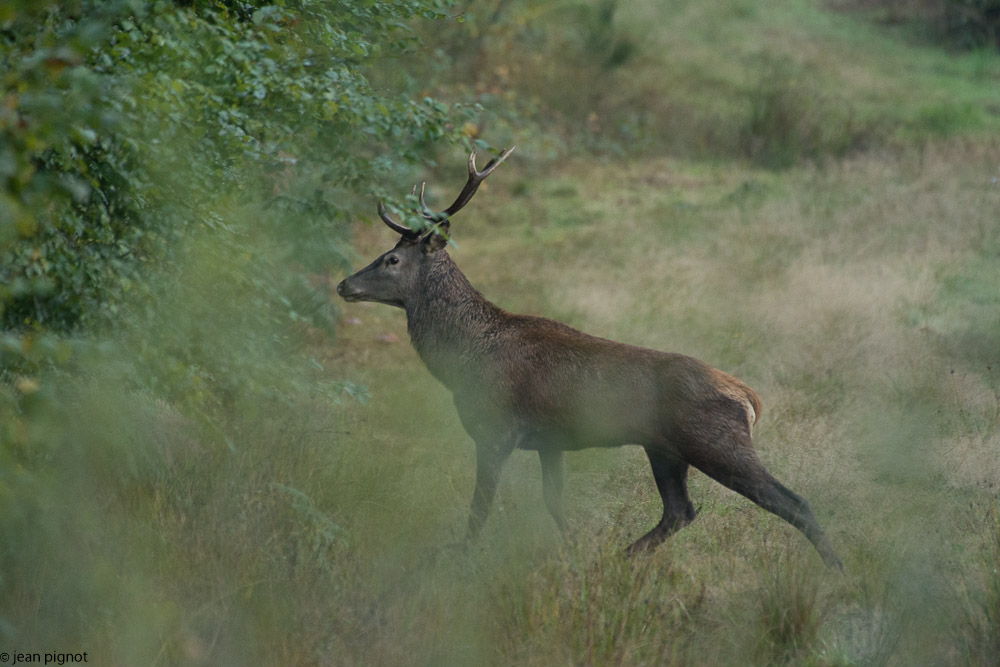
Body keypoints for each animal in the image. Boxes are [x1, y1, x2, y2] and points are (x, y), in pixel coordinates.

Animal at [338, 147, 844, 568]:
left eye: (391, 260)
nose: (344, 284)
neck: (461, 361)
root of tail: (749, 398)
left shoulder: (496, 428)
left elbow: (479, 509)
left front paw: (456, 562)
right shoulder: (550, 442)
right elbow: (555, 503)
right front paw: (576, 552)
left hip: (717, 441)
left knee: (792, 503)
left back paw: (836, 572)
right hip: (664, 449)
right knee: (680, 511)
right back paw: (618, 559)